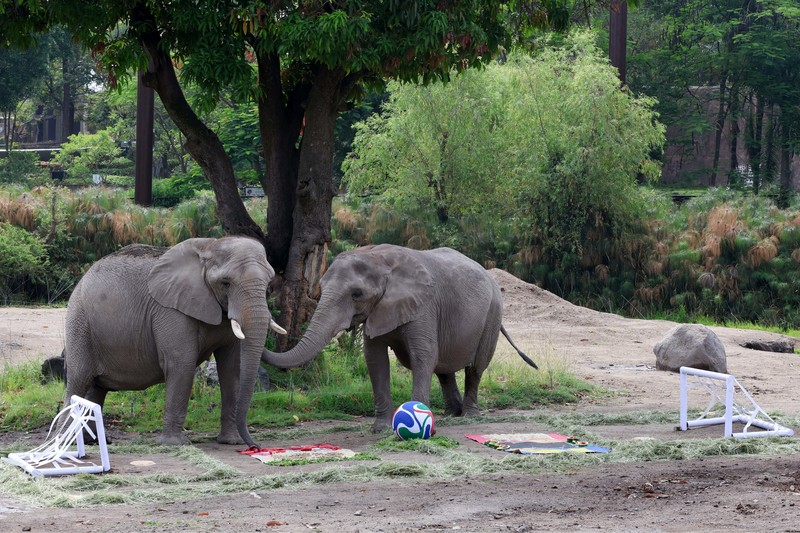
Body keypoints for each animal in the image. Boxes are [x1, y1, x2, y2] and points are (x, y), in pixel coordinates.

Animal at [63, 236, 285, 447]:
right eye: (226, 283)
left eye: (268, 284)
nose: (255, 446)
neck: (209, 247)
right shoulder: (170, 310)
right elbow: (181, 364)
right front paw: (175, 444)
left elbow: (232, 369)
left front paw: (232, 441)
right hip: (79, 323)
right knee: (79, 380)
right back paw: (71, 443)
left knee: (96, 389)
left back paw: (91, 441)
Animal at [262, 243, 537, 432]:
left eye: (356, 294)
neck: (378, 258)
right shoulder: (378, 310)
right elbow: (375, 359)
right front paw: (380, 429)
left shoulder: (423, 306)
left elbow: (423, 356)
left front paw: (419, 423)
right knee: (445, 371)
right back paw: (452, 414)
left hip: (493, 313)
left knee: (476, 368)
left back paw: (469, 415)